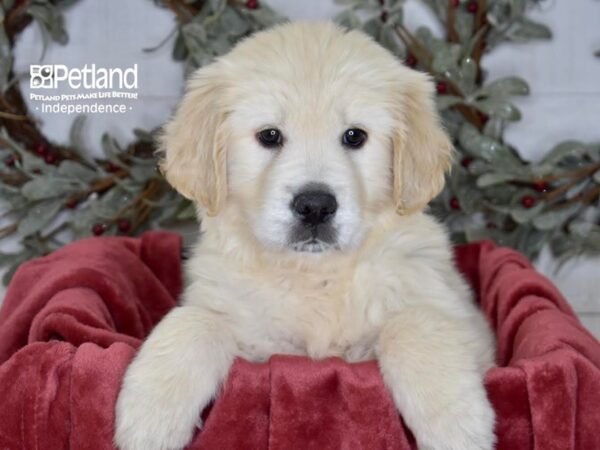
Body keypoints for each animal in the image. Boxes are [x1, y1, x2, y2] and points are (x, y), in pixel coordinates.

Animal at [115, 20, 494, 450]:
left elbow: (415, 322)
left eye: (354, 136)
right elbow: (193, 319)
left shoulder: (464, 321)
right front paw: (149, 417)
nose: (315, 206)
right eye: (269, 136)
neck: (314, 275)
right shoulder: (240, 324)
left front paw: (457, 424)